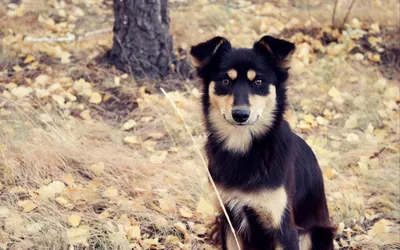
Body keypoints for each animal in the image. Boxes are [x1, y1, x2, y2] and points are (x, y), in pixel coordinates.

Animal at [190, 35, 334, 250]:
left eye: (258, 81)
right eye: (225, 80)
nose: (240, 115)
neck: (244, 148)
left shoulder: (284, 228)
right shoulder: (229, 221)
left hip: (313, 234)